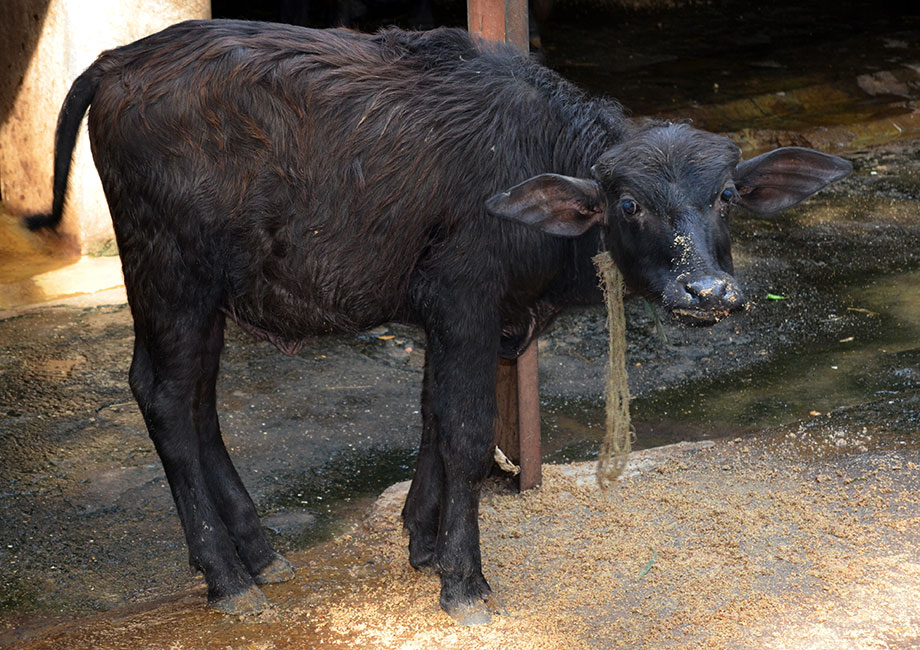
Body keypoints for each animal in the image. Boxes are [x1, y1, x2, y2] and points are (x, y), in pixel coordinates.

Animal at [27, 21, 848, 624]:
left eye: (725, 197)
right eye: (629, 203)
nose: (708, 292)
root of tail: (118, 61)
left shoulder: (456, 318)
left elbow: (431, 415)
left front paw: (421, 541)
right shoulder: (465, 302)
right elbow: (464, 433)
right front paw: (464, 580)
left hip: (205, 295)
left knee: (195, 398)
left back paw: (260, 552)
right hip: (169, 275)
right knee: (165, 395)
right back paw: (229, 581)